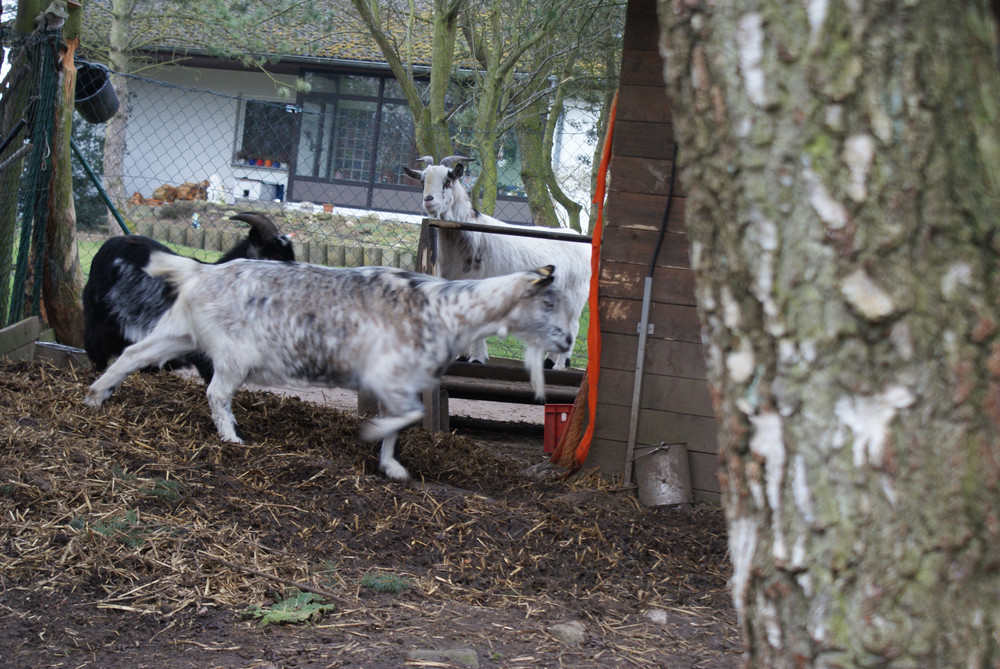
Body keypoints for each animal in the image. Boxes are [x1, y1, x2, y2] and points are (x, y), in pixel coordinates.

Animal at [85, 254, 572, 480]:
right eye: (547, 302)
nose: (568, 341)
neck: (449, 309)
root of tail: (200, 272)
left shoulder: (397, 382)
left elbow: (402, 422)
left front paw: (391, 466)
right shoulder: (388, 375)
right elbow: (407, 417)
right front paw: (373, 437)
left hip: (179, 331)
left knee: (131, 355)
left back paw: (95, 397)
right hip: (234, 354)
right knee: (216, 393)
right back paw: (232, 438)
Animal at [404, 155, 592, 368]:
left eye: (448, 180)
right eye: (422, 181)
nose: (429, 201)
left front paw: (477, 358)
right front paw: (462, 356)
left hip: (575, 296)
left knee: (573, 327)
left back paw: (559, 365)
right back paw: (549, 362)